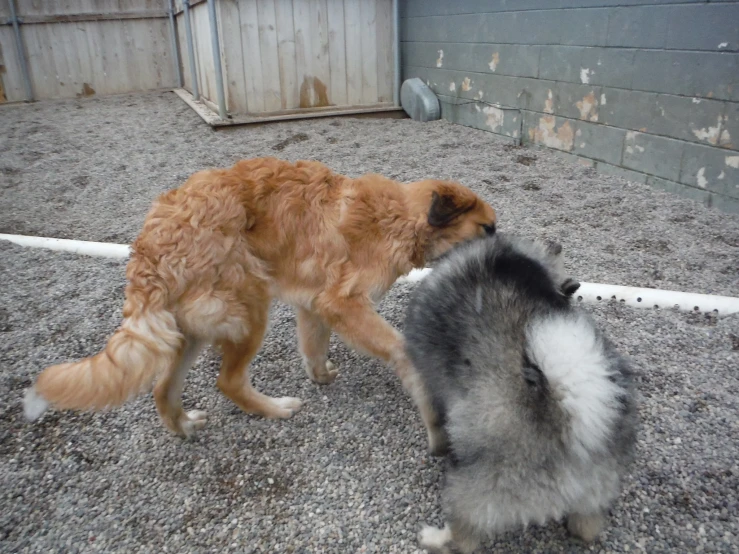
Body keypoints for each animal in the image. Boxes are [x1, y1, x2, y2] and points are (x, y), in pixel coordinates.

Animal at [23, 156, 498, 444]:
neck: (402, 216)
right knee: (228, 382)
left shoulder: (314, 305)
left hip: (192, 329)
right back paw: (274, 409)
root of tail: (151, 242)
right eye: (488, 228)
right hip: (249, 310)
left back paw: (183, 427)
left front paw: (321, 375)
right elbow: (398, 347)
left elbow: (313, 347)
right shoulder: (342, 302)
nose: (503, 252)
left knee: (162, 388)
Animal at [402, 233, 640, 552]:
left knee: (464, 537)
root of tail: (568, 423)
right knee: (586, 528)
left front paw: (437, 447)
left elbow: (432, 420)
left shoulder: (422, 377)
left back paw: (434, 538)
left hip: (474, 486)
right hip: (597, 491)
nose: (572, 285)